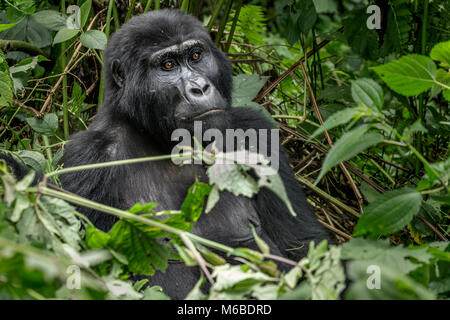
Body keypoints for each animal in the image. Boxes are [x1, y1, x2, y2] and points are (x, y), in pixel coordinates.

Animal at [1, 10, 328, 300]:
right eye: (168, 65)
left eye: (195, 57)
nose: (199, 87)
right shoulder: (87, 160)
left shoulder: (255, 131)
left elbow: (303, 245)